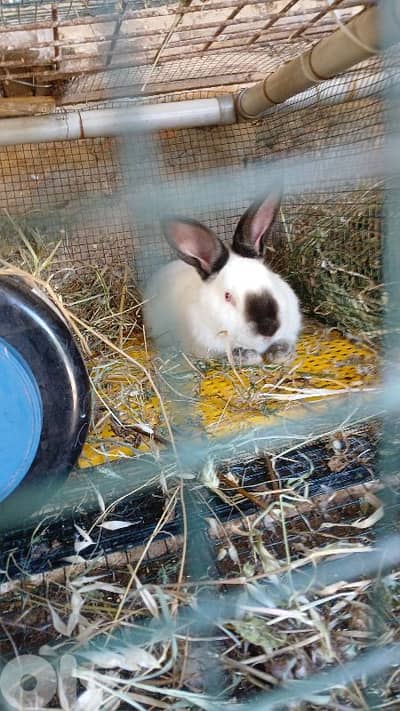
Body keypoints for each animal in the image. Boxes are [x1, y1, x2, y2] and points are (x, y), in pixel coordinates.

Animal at [143, 191, 301, 365]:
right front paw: (250, 357)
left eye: (270, 279)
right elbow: (228, 352)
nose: (268, 327)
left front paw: (281, 353)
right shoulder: (207, 348)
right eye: (227, 296)